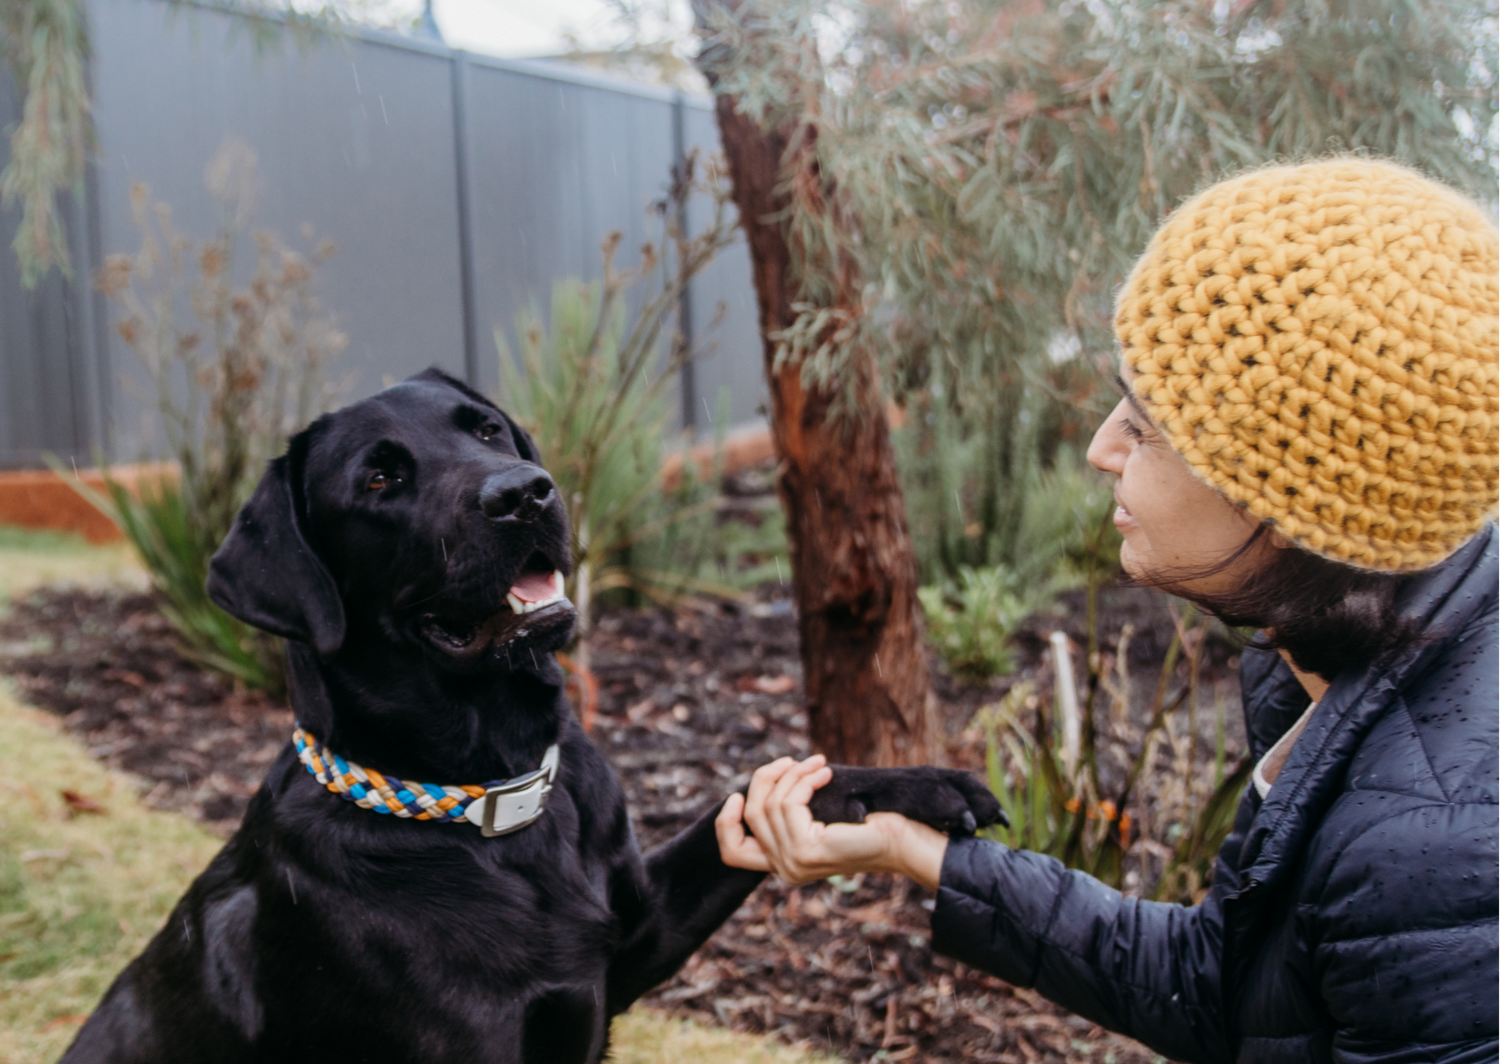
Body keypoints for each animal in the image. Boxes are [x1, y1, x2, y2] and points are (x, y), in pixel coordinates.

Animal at [58, 367, 1002, 1062]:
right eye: (379, 477)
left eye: (484, 430)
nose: (525, 492)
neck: (492, 797)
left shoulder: (637, 933)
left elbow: (755, 792)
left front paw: (924, 786)